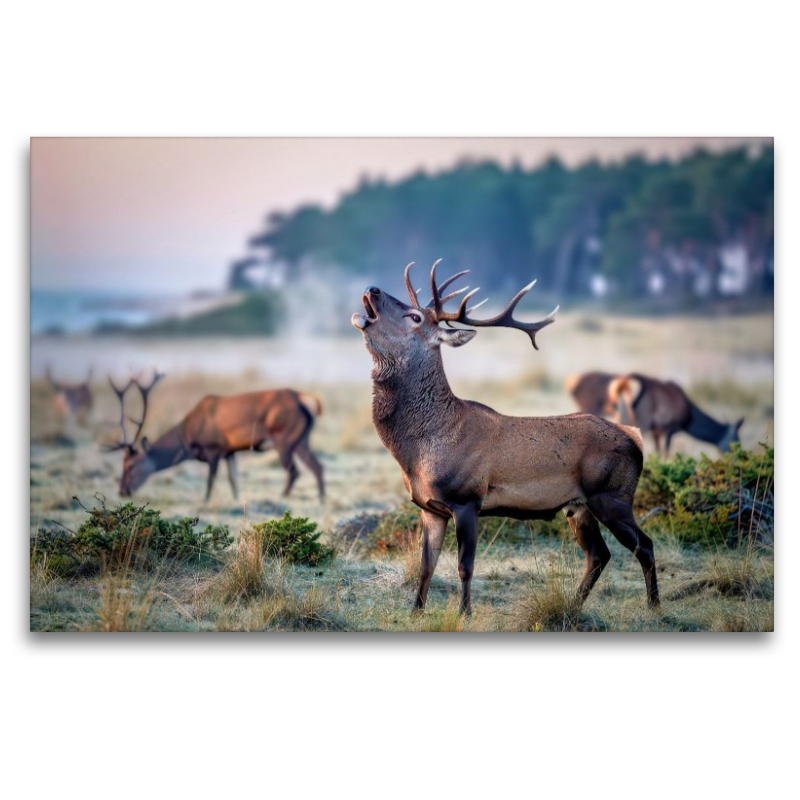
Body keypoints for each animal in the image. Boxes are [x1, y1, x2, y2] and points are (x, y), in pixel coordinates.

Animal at [105, 372, 325, 502]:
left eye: (130, 465)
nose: (122, 491)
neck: (189, 437)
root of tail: (305, 399)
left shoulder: (214, 448)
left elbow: (211, 481)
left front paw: (205, 501)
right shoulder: (230, 452)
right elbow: (233, 479)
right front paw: (236, 500)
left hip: (284, 438)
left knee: (294, 471)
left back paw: (284, 496)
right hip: (301, 439)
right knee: (317, 467)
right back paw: (321, 499)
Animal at [352, 260, 659, 615]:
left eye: (415, 317)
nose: (372, 289)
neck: (420, 451)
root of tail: (635, 439)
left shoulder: (467, 498)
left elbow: (464, 566)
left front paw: (465, 613)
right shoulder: (429, 507)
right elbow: (427, 565)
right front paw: (415, 612)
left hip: (613, 496)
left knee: (644, 545)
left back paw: (654, 606)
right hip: (578, 506)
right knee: (598, 554)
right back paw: (574, 604)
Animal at [606, 374, 743, 456]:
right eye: (736, 439)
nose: (738, 457)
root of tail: (624, 382)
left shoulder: (656, 432)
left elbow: (657, 453)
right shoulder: (669, 430)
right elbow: (665, 454)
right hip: (639, 424)